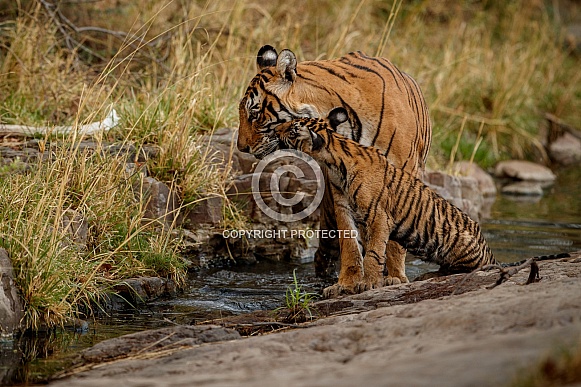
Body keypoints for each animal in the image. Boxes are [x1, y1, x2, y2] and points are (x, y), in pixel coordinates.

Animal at [236, 46, 430, 288]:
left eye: (254, 114)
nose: (241, 147)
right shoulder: (340, 181)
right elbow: (348, 237)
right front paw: (347, 282)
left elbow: (393, 242)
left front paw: (394, 277)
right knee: (325, 254)